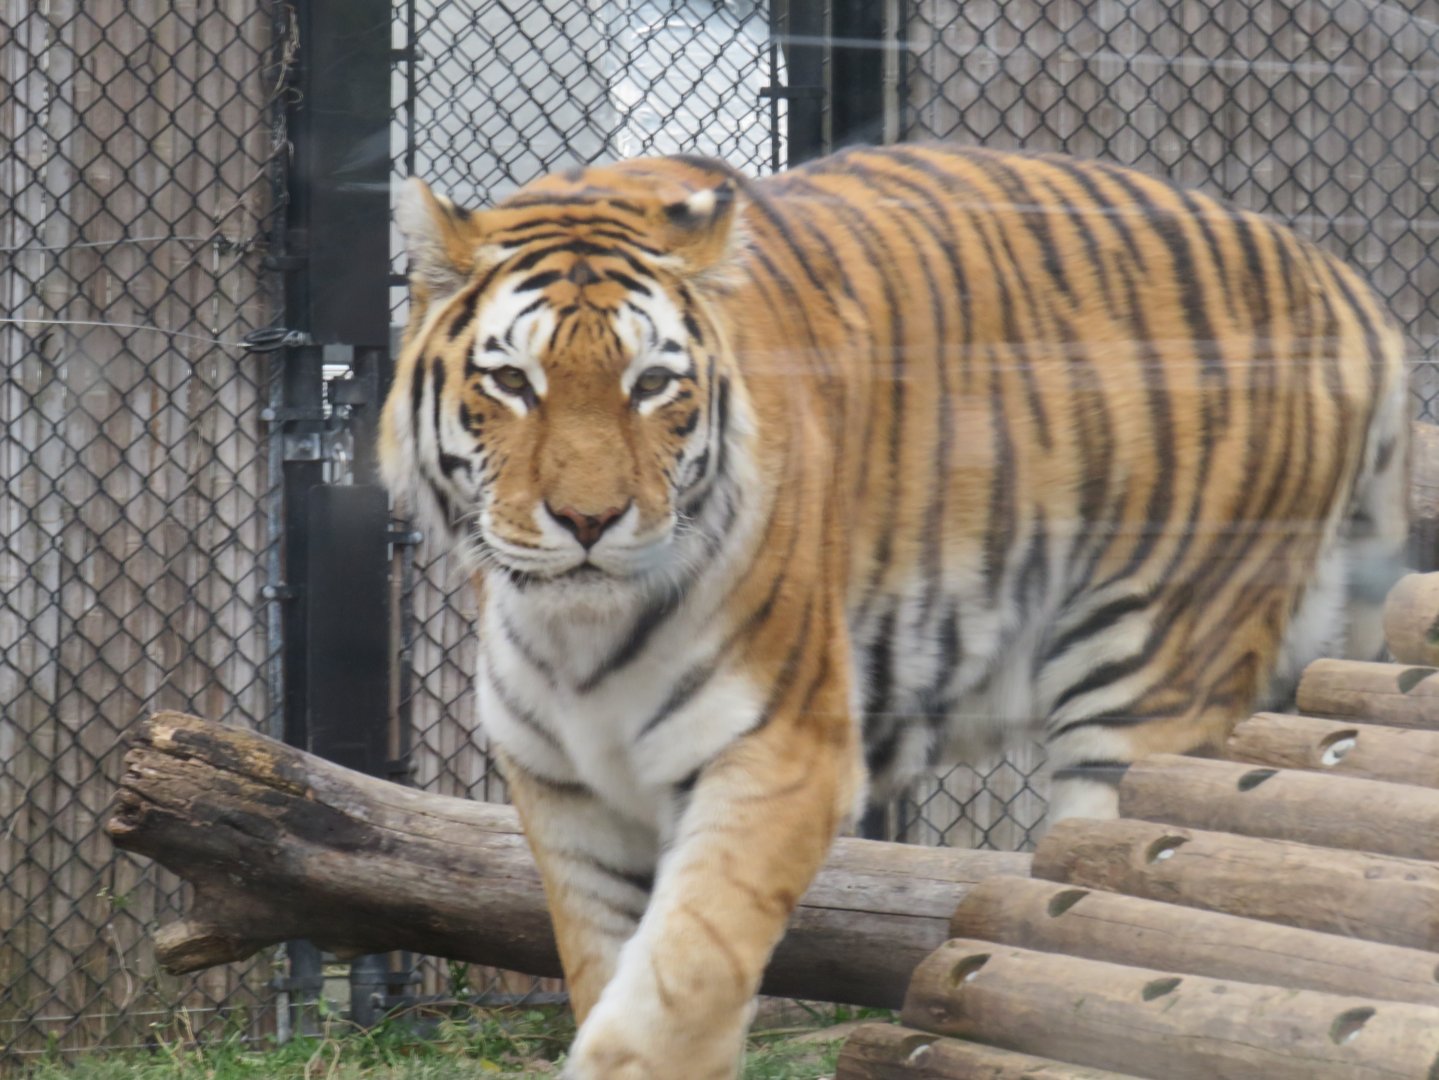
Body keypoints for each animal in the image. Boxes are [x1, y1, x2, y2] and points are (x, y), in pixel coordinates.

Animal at [379, 142, 1410, 1079]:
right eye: (513, 382)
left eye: (652, 385)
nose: (590, 520)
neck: (579, 630)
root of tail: (1341, 282)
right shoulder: (568, 795)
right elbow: (609, 972)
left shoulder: (780, 751)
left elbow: (678, 985)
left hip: (1152, 680)